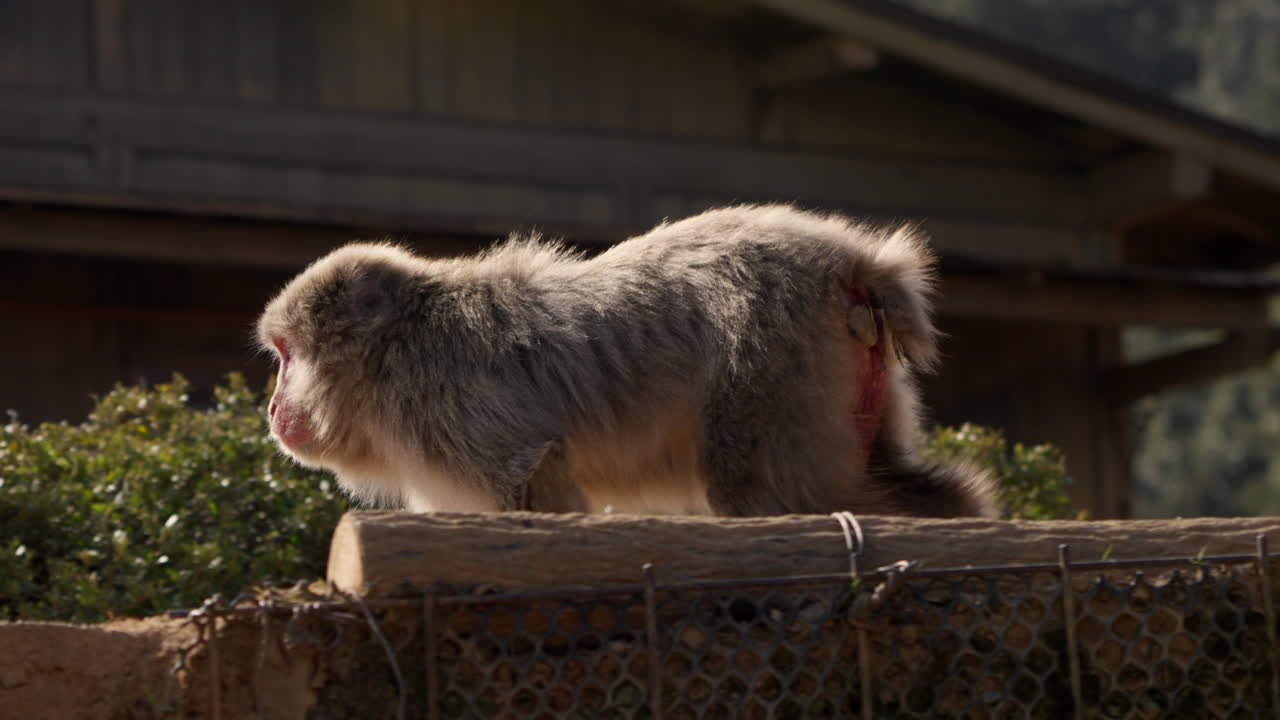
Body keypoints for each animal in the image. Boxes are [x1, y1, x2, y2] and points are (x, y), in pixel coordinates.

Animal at [257, 204, 995, 518]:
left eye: (286, 355)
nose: (271, 405)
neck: (391, 354)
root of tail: (854, 260)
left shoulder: (443, 399)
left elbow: (531, 482)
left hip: (774, 355)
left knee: (765, 488)